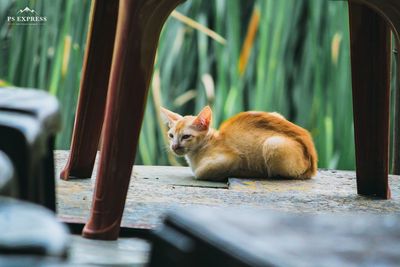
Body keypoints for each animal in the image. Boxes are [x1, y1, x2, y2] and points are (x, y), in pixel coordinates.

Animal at [161, 107, 318, 182]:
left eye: (186, 136)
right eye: (171, 136)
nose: (174, 146)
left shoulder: (233, 158)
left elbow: (200, 173)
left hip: (272, 144)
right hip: (276, 114)